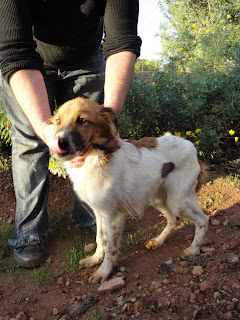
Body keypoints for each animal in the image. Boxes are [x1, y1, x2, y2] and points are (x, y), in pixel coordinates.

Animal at [50, 97, 208, 282]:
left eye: (81, 120)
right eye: (58, 121)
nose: (59, 143)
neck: (95, 158)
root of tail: (191, 145)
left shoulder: (114, 217)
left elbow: (110, 248)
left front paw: (104, 271)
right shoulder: (99, 212)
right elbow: (100, 238)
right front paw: (95, 259)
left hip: (178, 201)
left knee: (203, 220)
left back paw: (193, 249)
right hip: (158, 198)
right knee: (173, 219)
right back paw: (158, 241)